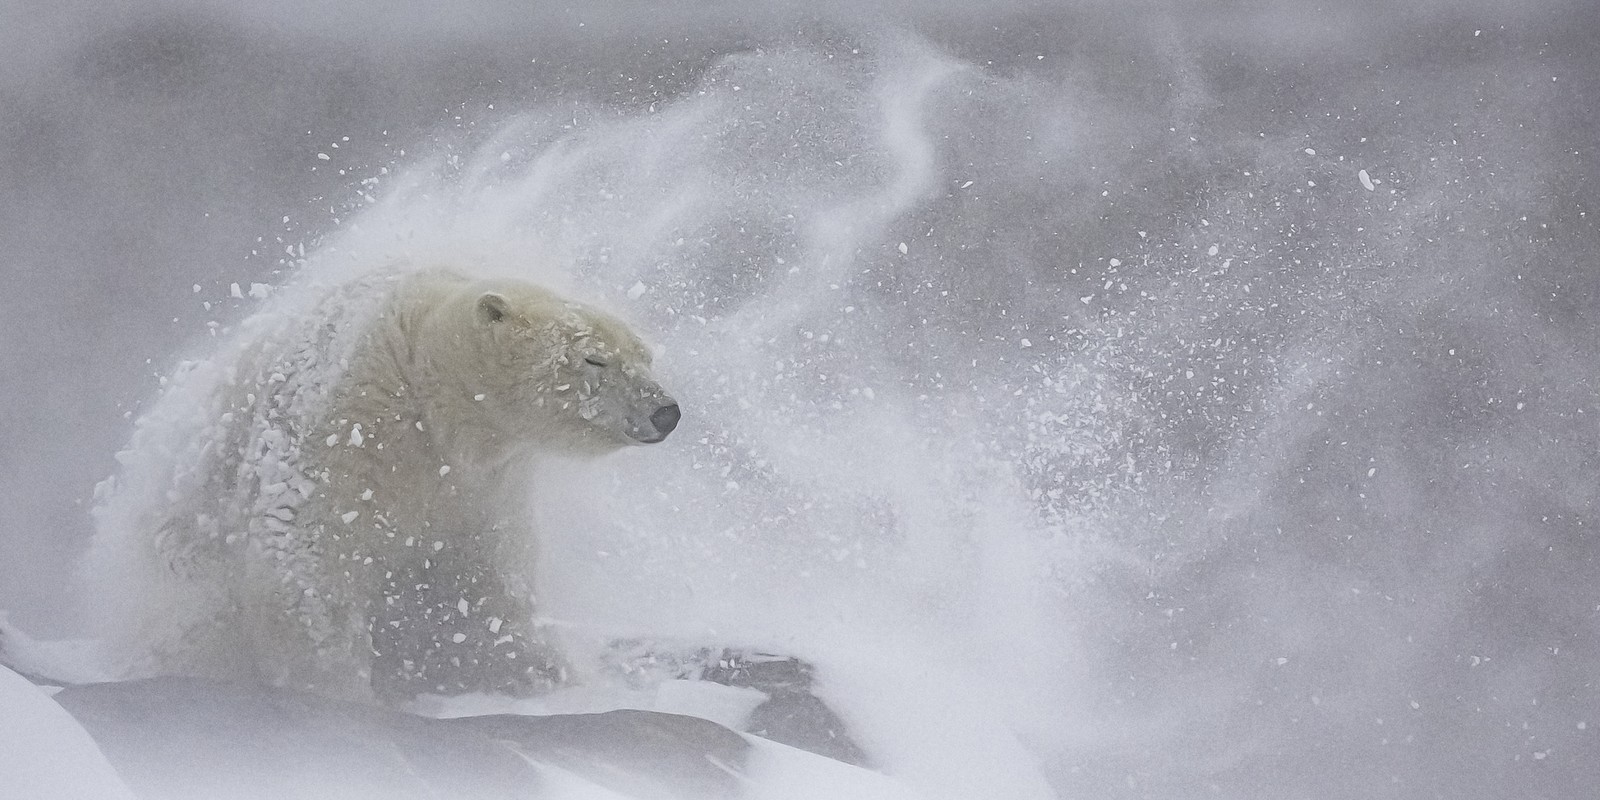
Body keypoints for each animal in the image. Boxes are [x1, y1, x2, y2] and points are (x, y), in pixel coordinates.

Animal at [5, 266, 678, 705]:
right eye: (594, 359)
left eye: (646, 356)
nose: (666, 411)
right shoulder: (348, 420)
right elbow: (306, 553)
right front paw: (334, 689)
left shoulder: (485, 486)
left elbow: (481, 581)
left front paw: (545, 673)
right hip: (177, 583)